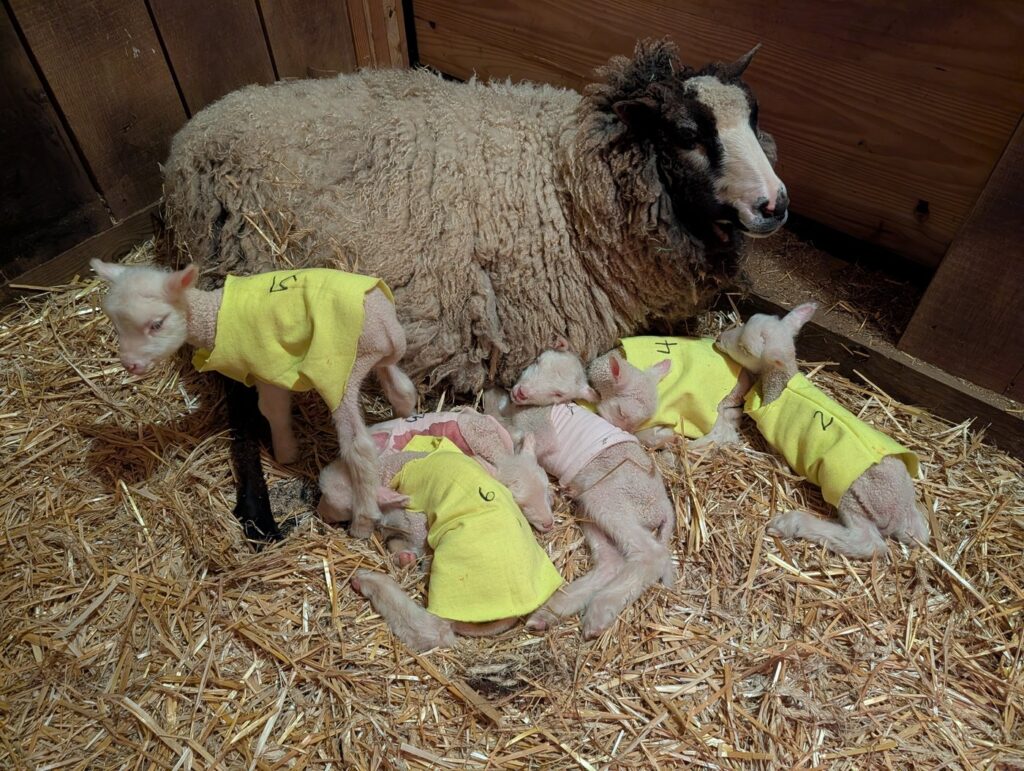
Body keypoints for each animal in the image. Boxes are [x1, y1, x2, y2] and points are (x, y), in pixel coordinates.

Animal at [89, 260, 417, 539]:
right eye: (116, 325)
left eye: (156, 324)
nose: (130, 365)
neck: (213, 316)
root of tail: (386, 323)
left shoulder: (266, 366)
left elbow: (273, 410)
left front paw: (286, 453)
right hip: (374, 357)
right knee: (403, 390)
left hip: (338, 371)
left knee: (359, 446)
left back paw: (363, 520)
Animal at [489, 350, 677, 639]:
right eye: (536, 363)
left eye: (558, 393)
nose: (519, 392)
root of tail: (665, 507)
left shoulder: (538, 429)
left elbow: (516, 436)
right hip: (589, 508)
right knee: (611, 562)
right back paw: (550, 612)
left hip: (611, 499)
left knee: (651, 554)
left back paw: (600, 611)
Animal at [716, 303, 930, 558]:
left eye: (744, 349)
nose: (719, 339)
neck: (781, 385)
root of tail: (900, 513)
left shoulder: (775, 439)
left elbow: (778, 458)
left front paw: (780, 467)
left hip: (854, 499)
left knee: (868, 543)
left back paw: (791, 523)